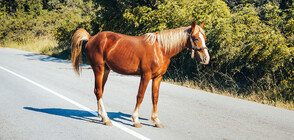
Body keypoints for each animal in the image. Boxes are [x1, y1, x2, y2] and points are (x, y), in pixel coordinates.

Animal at [70, 20, 209, 128]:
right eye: (196, 38)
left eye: (205, 38)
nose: (206, 59)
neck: (160, 49)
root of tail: (91, 37)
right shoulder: (145, 76)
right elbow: (140, 96)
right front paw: (136, 119)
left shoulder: (158, 77)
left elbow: (155, 97)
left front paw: (156, 120)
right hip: (98, 69)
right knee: (98, 91)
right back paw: (106, 118)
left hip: (106, 70)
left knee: (99, 90)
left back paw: (101, 115)